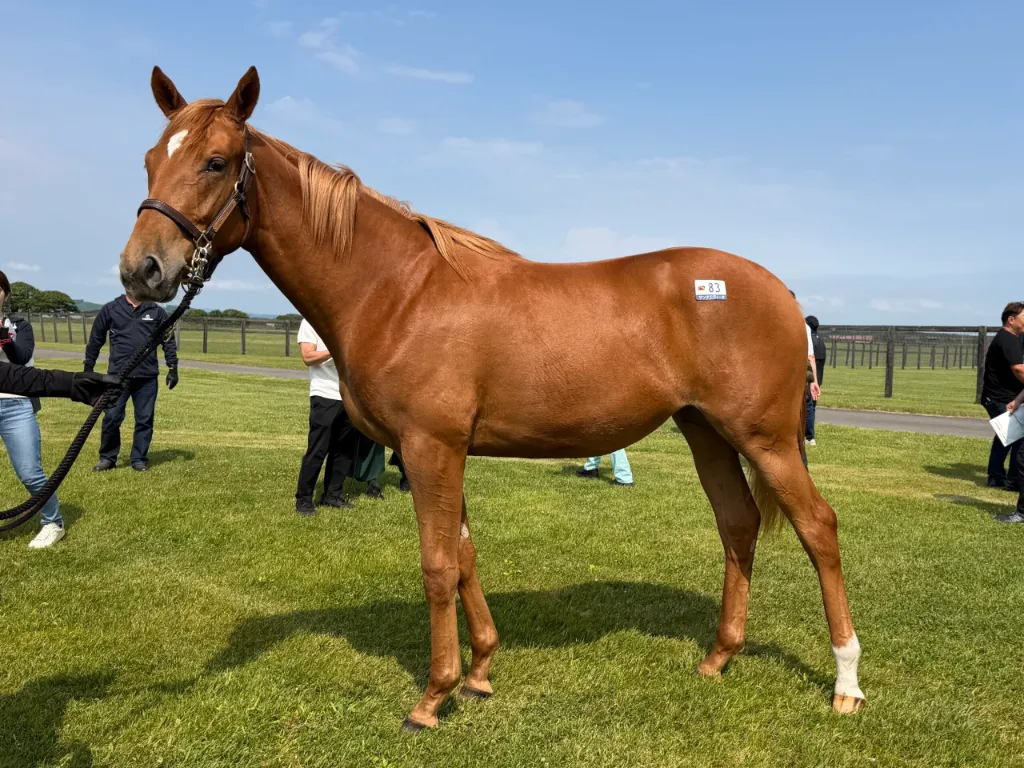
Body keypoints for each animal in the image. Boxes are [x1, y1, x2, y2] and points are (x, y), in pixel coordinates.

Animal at [118, 66, 865, 730]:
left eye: (216, 162)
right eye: (150, 159)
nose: (141, 270)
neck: (397, 289)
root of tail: (780, 291)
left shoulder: (430, 448)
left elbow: (437, 564)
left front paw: (432, 696)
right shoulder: (443, 452)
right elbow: (466, 556)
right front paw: (478, 672)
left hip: (765, 439)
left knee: (818, 528)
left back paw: (846, 682)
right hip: (704, 430)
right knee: (738, 524)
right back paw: (718, 658)